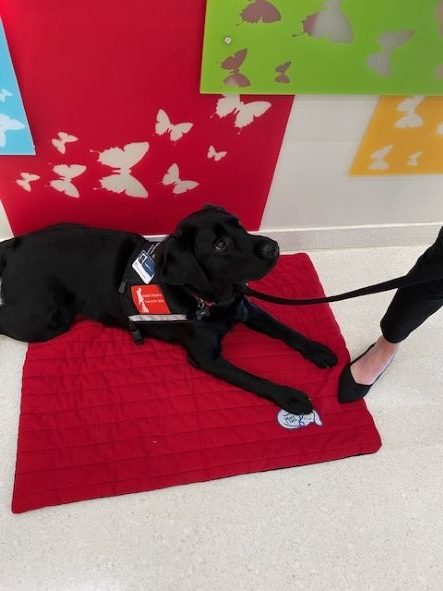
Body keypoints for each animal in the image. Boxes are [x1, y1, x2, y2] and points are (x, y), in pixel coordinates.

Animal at [0, 208, 336, 416]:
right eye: (220, 245)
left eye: (239, 224)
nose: (274, 247)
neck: (208, 298)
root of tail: (15, 246)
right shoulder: (206, 358)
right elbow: (251, 378)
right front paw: (289, 396)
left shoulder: (245, 309)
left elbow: (285, 329)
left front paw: (317, 350)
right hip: (46, 320)